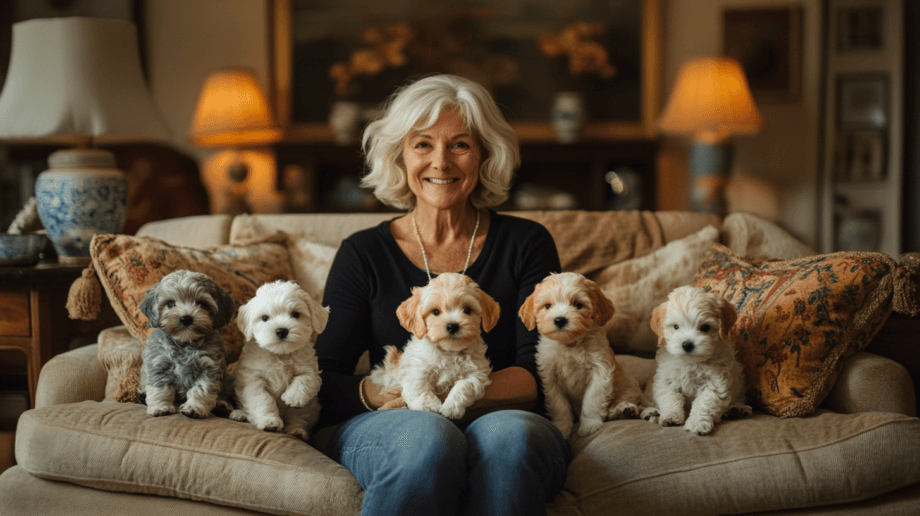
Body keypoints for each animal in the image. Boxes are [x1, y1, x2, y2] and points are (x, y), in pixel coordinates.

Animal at [138, 270, 237, 420]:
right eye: (170, 303)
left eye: (202, 304)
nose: (185, 318)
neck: (184, 343)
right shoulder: (158, 364)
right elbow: (159, 389)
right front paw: (161, 406)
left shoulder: (209, 367)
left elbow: (201, 390)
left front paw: (194, 407)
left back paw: (221, 406)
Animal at [228, 278, 328, 440]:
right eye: (264, 318)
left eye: (295, 314)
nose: (281, 331)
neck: (280, 354)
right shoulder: (252, 378)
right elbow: (263, 399)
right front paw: (270, 421)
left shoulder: (310, 369)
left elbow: (305, 379)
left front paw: (292, 397)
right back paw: (239, 414)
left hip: (310, 407)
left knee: (300, 416)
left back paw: (297, 430)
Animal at [368, 272, 500, 422]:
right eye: (435, 312)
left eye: (467, 310)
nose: (453, 326)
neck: (449, 352)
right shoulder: (415, 370)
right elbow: (419, 387)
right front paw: (429, 407)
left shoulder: (476, 374)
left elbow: (465, 386)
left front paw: (451, 407)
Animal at [520, 272, 644, 438]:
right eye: (547, 306)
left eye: (578, 305)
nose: (560, 320)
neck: (570, 345)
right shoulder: (551, 378)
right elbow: (559, 405)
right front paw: (562, 428)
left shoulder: (600, 370)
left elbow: (592, 398)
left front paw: (589, 425)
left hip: (628, 384)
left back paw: (624, 409)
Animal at [640, 286, 756, 436]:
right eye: (676, 327)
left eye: (705, 327)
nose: (687, 345)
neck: (691, 362)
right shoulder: (667, 380)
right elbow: (670, 398)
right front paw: (671, 416)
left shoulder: (715, 382)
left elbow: (704, 403)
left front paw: (697, 423)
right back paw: (651, 412)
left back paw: (736, 409)